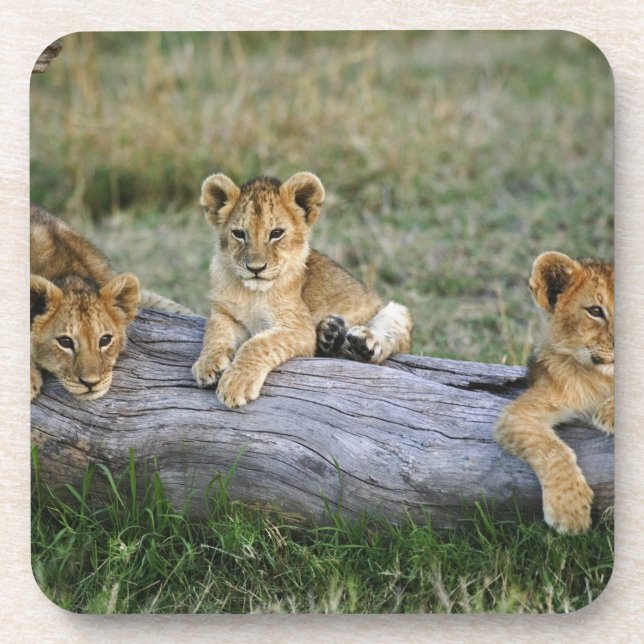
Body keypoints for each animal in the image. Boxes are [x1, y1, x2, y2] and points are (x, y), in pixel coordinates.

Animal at [192, 172, 413, 408]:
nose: (256, 268)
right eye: (239, 234)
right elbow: (214, 332)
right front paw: (207, 364)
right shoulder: (224, 313)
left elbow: (258, 344)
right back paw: (331, 333)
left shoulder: (299, 328)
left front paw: (236, 383)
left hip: (395, 311)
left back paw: (363, 342)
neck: (251, 292)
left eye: (276, 233)